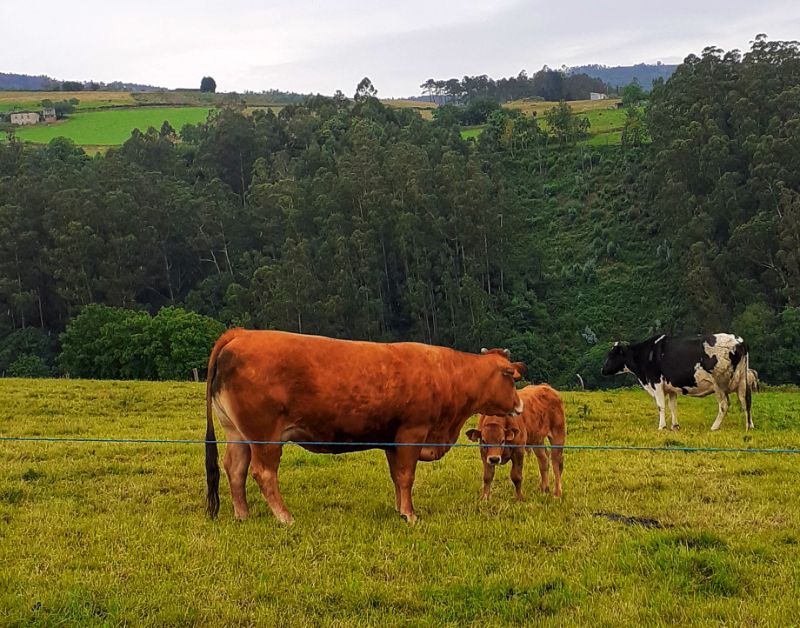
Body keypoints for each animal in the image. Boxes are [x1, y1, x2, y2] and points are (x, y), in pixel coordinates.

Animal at [205, 328, 524, 524]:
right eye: (511, 377)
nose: (520, 404)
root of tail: (241, 334)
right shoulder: (411, 433)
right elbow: (406, 476)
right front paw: (410, 515)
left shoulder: (392, 440)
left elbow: (397, 478)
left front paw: (399, 509)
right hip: (265, 436)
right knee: (263, 473)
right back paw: (285, 517)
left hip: (237, 433)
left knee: (235, 468)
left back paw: (242, 514)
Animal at [604, 334, 752, 432]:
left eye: (611, 355)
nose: (602, 370)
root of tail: (738, 341)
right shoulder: (671, 388)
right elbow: (673, 406)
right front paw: (675, 426)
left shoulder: (656, 383)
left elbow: (661, 406)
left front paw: (661, 426)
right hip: (742, 381)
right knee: (745, 402)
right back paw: (748, 426)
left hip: (719, 384)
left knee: (724, 405)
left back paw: (714, 427)